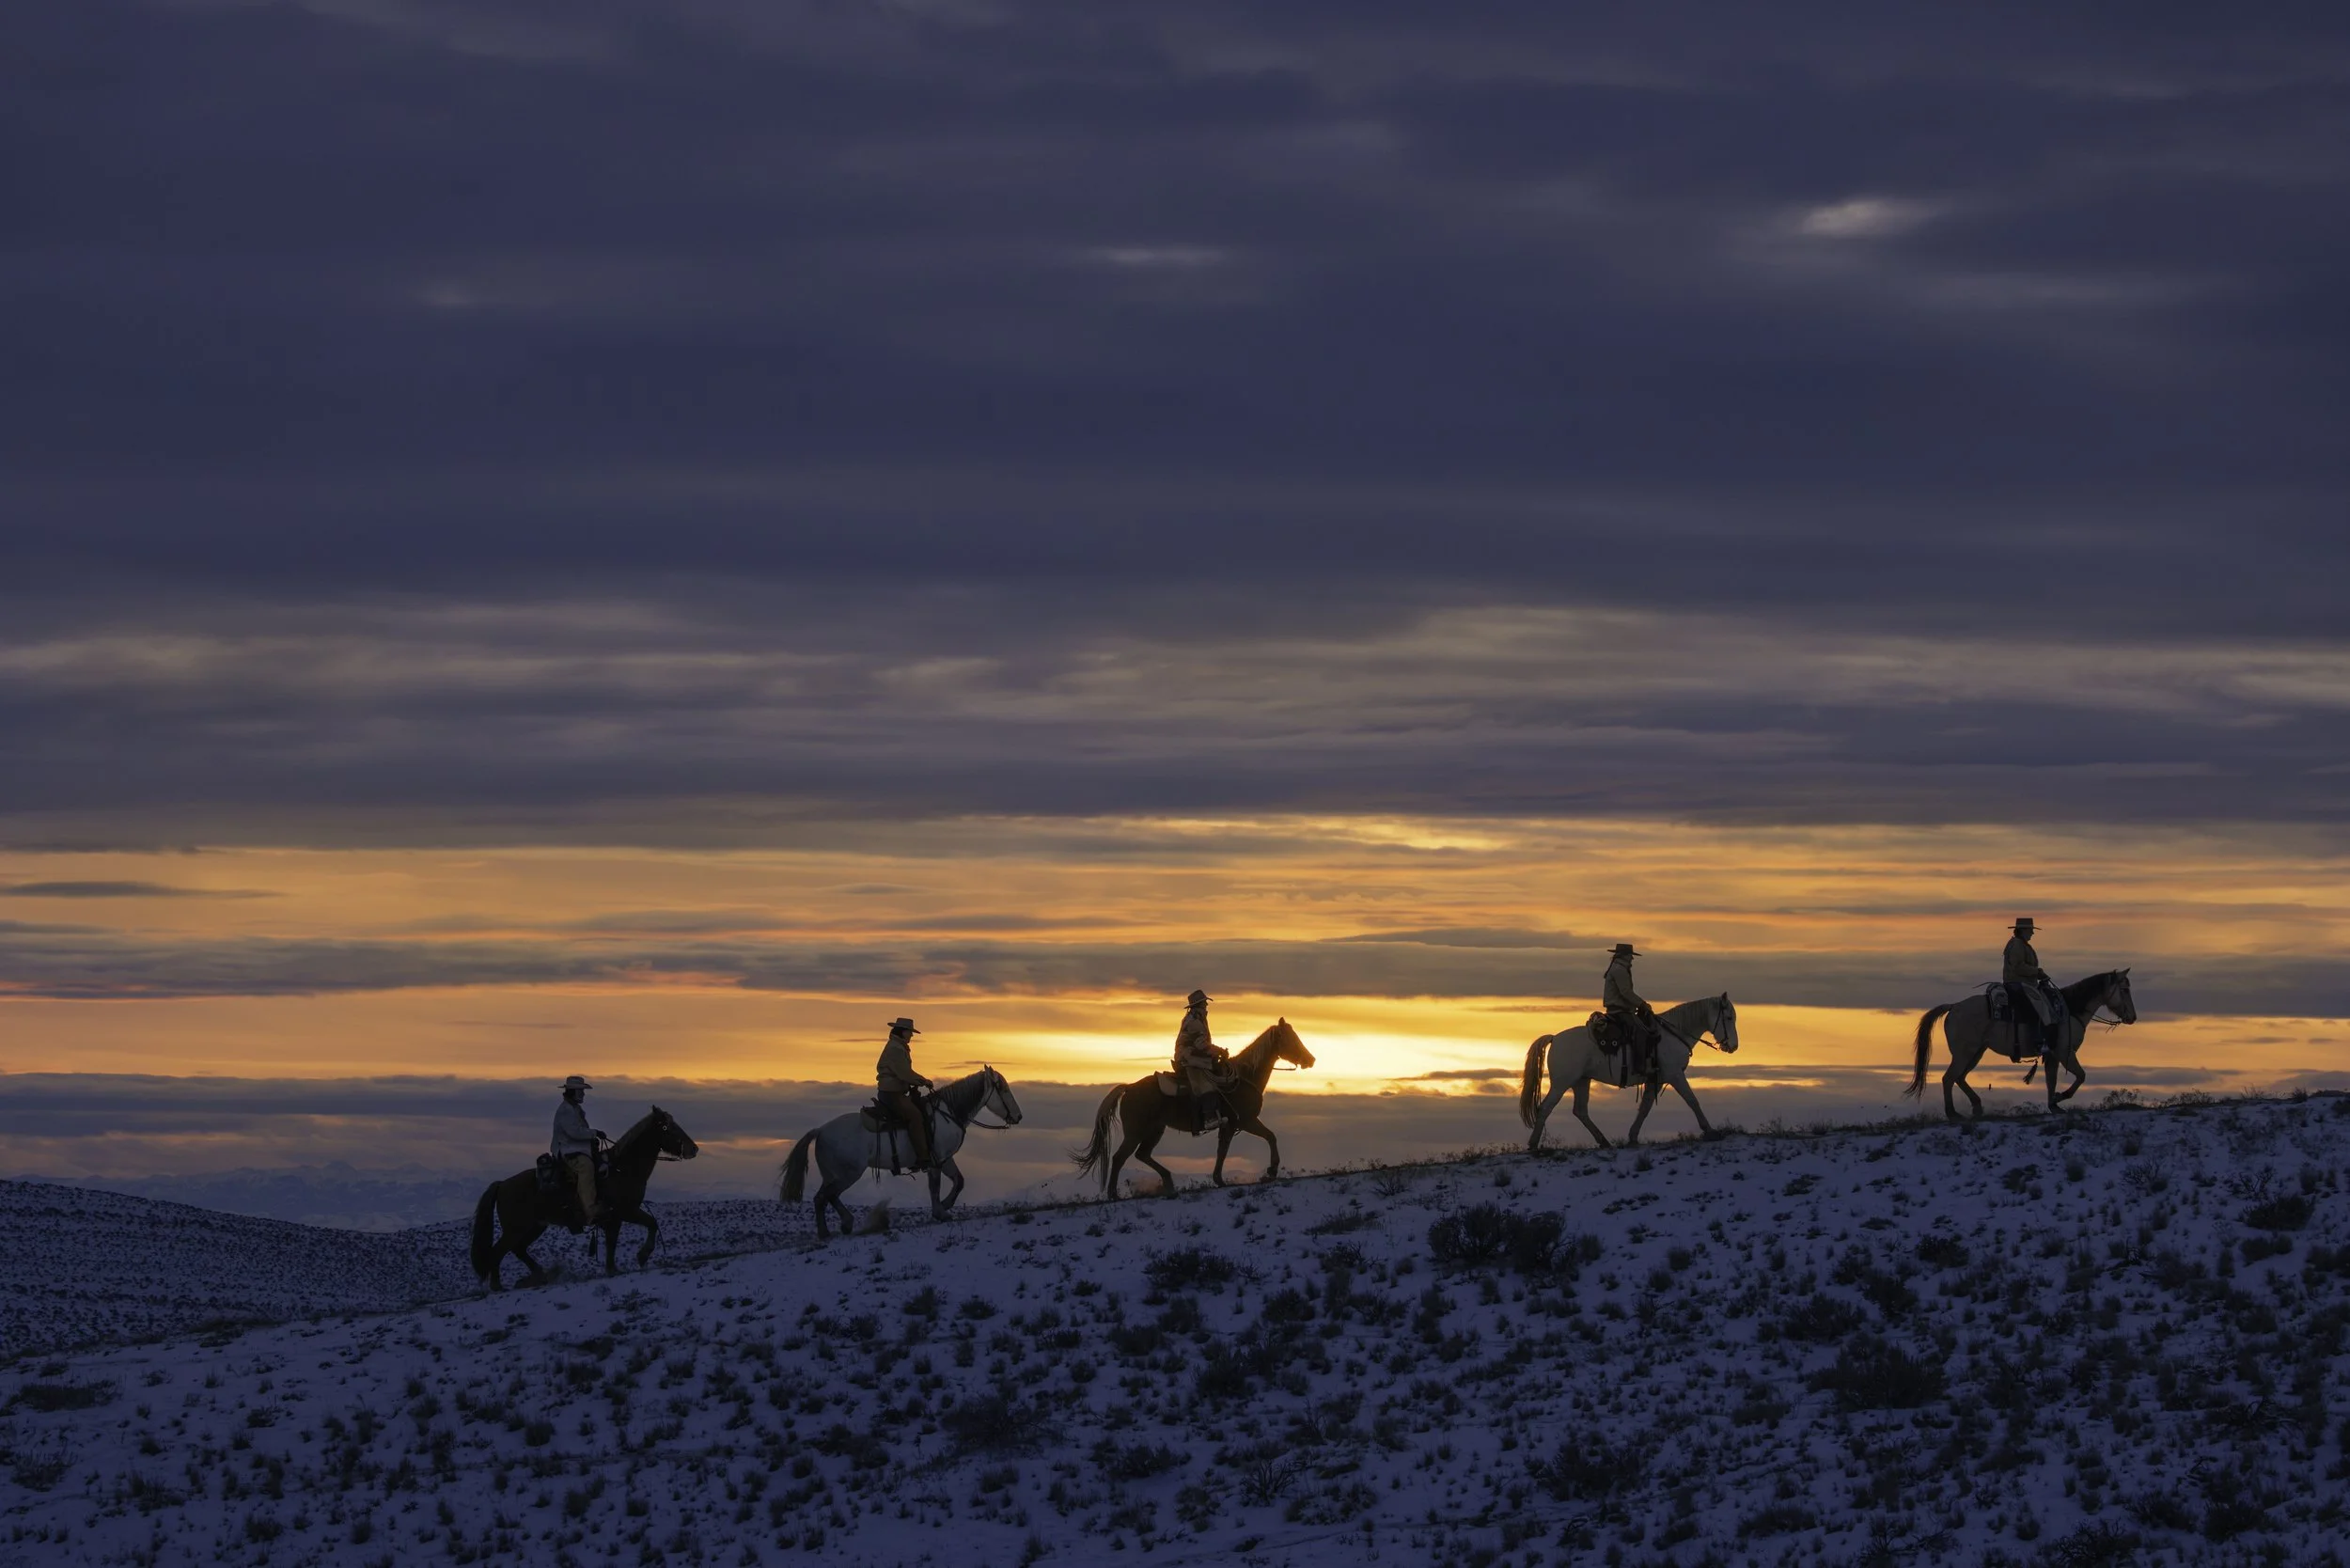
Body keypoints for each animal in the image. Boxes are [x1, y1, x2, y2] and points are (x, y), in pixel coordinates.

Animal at [470, 1106, 700, 1291]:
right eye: (668, 1128)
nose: (694, 1149)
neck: (622, 1169)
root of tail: (502, 1184)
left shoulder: (614, 1219)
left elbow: (612, 1243)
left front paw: (612, 1269)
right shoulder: (627, 1211)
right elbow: (651, 1223)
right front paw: (642, 1256)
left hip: (535, 1226)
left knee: (518, 1249)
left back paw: (539, 1275)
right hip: (516, 1229)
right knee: (497, 1251)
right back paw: (498, 1286)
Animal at [779, 1066, 1023, 1241]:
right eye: (1003, 1089)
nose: (1018, 1116)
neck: (947, 1113)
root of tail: (821, 1130)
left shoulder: (945, 1159)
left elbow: (958, 1181)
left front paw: (945, 1206)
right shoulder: (936, 1160)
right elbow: (935, 1187)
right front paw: (941, 1211)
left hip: (833, 1174)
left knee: (827, 1197)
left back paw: (843, 1224)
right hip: (848, 1173)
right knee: (824, 1197)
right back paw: (828, 1231)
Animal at [1071, 1018, 1316, 1198]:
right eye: (1291, 1039)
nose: (1311, 1060)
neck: (1245, 1077)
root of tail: (1129, 1088)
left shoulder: (1231, 1125)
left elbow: (1224, 1150)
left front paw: (1219, 1179)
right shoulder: (1245, 1121)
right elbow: (1268, 1137)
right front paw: (1271, 1170)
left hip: (1155, 1130)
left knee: (1142, 1154)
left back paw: (1168, 1181)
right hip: (1136, 1132)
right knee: (1120, 1157)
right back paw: (1114, 1194)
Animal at [1519, 994, 1741, 1151]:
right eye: (1729, 1017)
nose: (1734, 1046)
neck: (1674, 1034)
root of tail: (1555, 1038)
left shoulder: (1656, 1080)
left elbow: (1645, 1108)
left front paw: (1633, 1136)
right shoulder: (1675, 1074)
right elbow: (1692, 1100)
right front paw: (1710, 1131)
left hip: (1581, 1081)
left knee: (1580, 1111)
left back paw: (1604, 1141)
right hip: (1562, 1083)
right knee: (1545, 1108)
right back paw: (1533, 1144)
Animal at [1908, 968, 2136, 1120]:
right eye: (2125, 989)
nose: (2132, 1017)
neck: (2070, 1010)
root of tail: (1954, 1007)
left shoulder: (2052, 1055)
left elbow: (2051, 1080)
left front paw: (2054, 1105)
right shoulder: (2065, 1052)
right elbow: (2081, 1076)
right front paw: (2062, 1097)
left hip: (1976, 1052)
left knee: (1960, 1077)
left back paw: (1977, 1106)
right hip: (1965, 1053)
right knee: (1949, 1078)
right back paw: (1953, 1113)